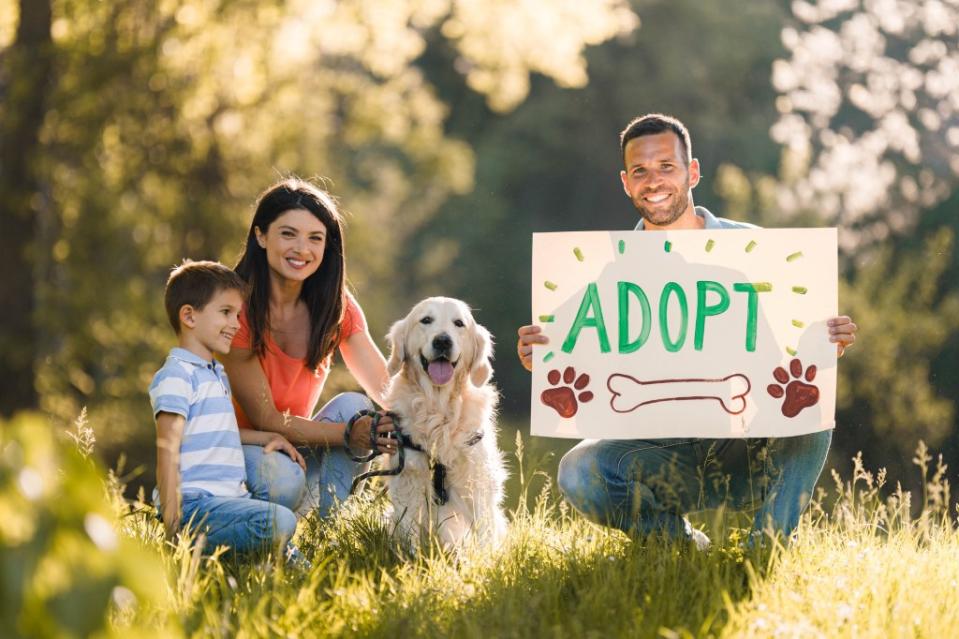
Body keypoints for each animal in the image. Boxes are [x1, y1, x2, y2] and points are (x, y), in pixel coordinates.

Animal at [384, 298, 510, 548]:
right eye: (426, 320)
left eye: (459, 323)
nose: (442, 340)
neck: (439, 409)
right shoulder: (410, 477)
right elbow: (410, 530)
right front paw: (410, 555)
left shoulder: (476, 480)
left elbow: (484, 533)